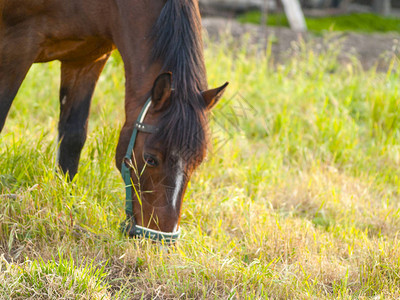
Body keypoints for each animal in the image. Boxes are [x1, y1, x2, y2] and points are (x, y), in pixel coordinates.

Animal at [0, 0, 225, 239]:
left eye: (198, 161)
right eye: (150, 159)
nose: (160, 236)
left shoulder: (87, 58)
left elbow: (72, 139)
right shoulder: (18, 46)